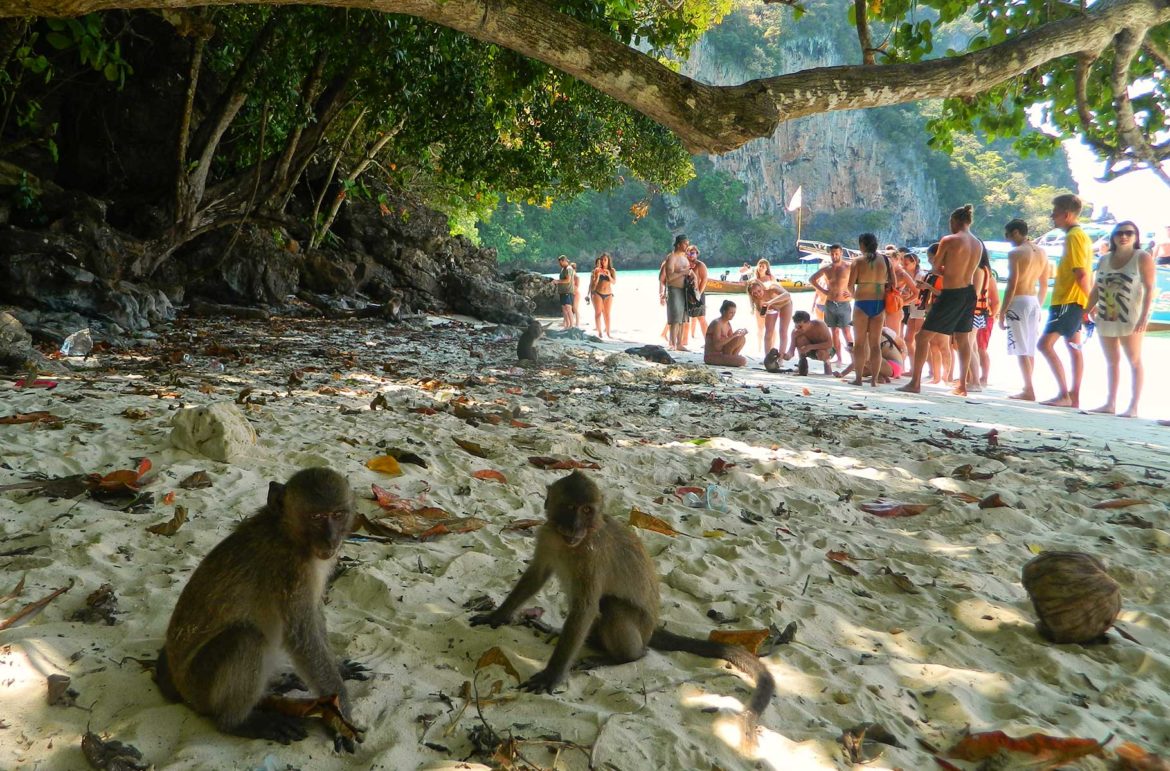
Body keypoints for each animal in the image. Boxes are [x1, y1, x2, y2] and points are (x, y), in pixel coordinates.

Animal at [155, 467, 362, 748]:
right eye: (317, 517)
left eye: (338, 515)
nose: (330, 540)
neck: (288, 533)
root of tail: (180, 686)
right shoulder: (289, 569)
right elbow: (302, 637)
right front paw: (342, 718)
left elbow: (313, 618)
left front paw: (339, 670)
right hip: (201, 686)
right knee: (246, 637)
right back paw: (237, 722)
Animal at [470, 467, 772, 744]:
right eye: (569, 507)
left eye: (587, 510)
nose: (575, 526)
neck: (569, 543)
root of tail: (650, 631)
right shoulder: (547, 536)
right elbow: (536, 576)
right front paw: (498, 615)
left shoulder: (592, 555)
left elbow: (587, 607)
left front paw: (552, 675)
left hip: (637, 627)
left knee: (612, 606)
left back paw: (623, 657)